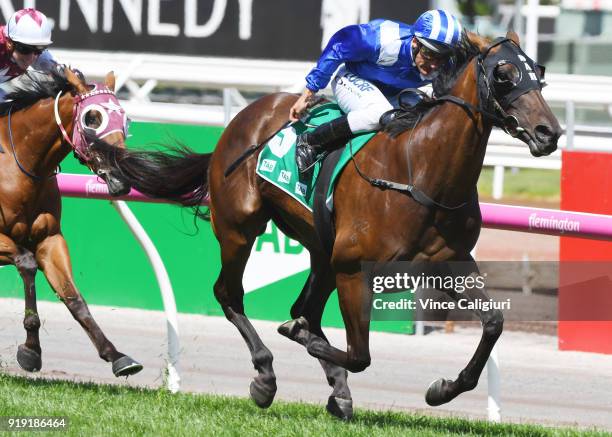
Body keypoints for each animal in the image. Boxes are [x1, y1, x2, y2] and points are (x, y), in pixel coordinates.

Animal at [0, 66, 141, 376]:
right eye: (92, 118)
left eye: (125, 119)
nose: (121, 177)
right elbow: (27, 263)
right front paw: (31, 350)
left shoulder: (50, 239)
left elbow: (74, 299)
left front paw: (116, 356)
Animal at [94, 33, 560, 416]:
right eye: (504, 73)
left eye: (538, 72)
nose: (548, 133)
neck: (420, 169)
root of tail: (240, 119)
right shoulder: (356, 269)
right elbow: (358, 353)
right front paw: (295, 343)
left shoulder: (449, 261)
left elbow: (493, 323)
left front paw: (443, 388)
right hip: (240, 228)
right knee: (230, 294)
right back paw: (266, 377)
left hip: (320, 248)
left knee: (306, 308)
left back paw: (336, 390)